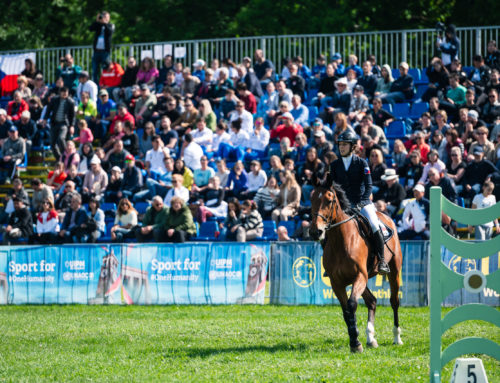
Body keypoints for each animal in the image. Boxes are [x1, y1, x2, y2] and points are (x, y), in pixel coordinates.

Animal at [310, 185, 404, 354]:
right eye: (311, 199)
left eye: (329, 200)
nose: (316, 231)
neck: (341, 241)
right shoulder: (337, 283)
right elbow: (346, 310)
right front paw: (355, 339)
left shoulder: (360, 276)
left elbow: (352, 304)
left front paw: (355, 343)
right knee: (372, 301)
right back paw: (371, 338)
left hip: (393, 272)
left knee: (394, 302)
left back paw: (396, 338)